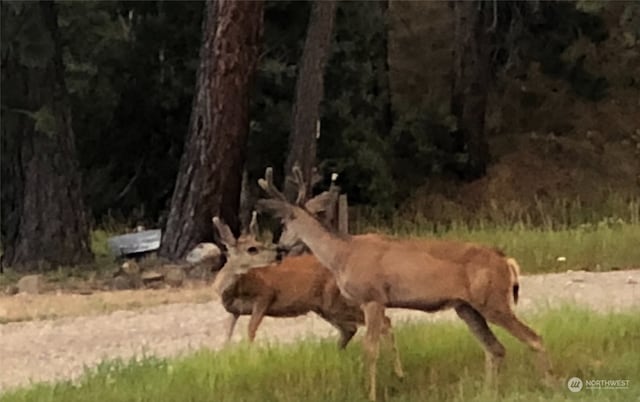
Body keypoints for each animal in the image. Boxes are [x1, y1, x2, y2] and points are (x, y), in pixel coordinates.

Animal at [255, 165, 556, 400]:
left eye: (287, 220)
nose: (280, 247)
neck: (342, 254)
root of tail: (508, 262)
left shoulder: (372, 297)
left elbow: (370, 349)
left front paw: (371, 394)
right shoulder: (372, 302)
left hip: (493, 301)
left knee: (534, 338)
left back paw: (547, 384)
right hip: (467, 307)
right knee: (496, 349)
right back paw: (487, 393)